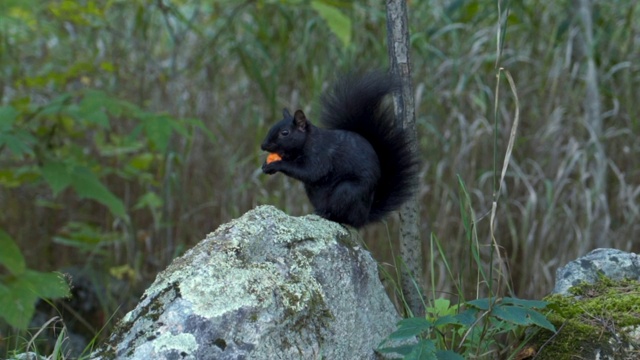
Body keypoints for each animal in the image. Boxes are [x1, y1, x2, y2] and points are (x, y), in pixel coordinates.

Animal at [262, 70, 420, 228]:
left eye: (285, 133)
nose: (263, 146)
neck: (307, 142)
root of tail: (364, 217)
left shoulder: (321, 155)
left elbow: (311, 172)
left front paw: (277, 164)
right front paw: (267, 164)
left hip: (347, 191)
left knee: (344, 217)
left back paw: (329, 215)